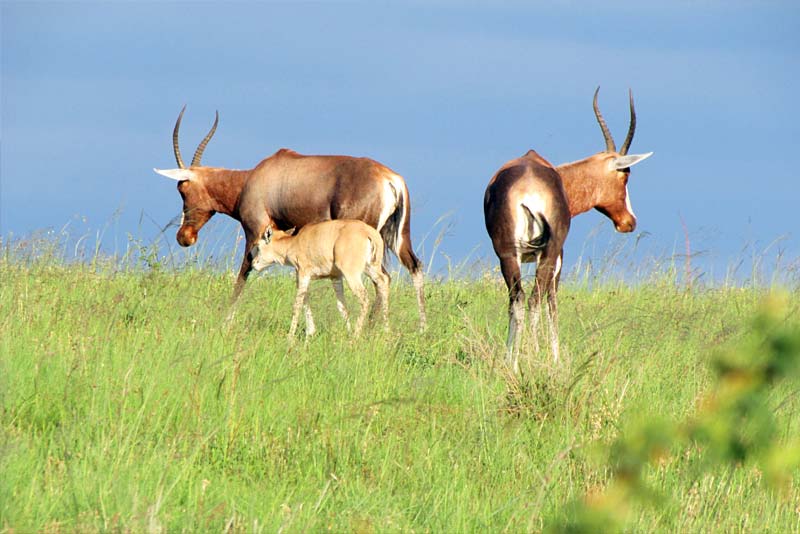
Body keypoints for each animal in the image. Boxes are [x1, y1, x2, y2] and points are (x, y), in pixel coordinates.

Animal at [152, 107, 424, 328]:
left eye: (182, 188)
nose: (184, 237)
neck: (254, 178)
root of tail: (390, 179)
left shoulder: (256, 231)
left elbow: (244, 273)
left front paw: (225, 321)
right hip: (395, 238)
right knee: (413, 268)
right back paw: (414, 328)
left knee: (380, 279)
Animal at [247, 222, 390, 340]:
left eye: (258, 245)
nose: (253, 264)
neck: (295, 242)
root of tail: (368, 233)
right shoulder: (335, 277)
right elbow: (341, 306)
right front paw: (312, 332)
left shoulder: (303, 274)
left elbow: (298, 303)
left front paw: (290, 337)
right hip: (371, 269)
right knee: (383, 282)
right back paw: (386, 331)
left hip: (352, 275)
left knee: (364, 298)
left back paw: (355, 337)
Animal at [484, 88, 652, 372]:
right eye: (625, 175)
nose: (629, 221)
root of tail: (528, 187)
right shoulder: (558, 258)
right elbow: (553, 304)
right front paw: (554, 358)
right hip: (548, 255)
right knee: (535, 300)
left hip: (507, 255)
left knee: (517, 299)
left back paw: (512, 362)